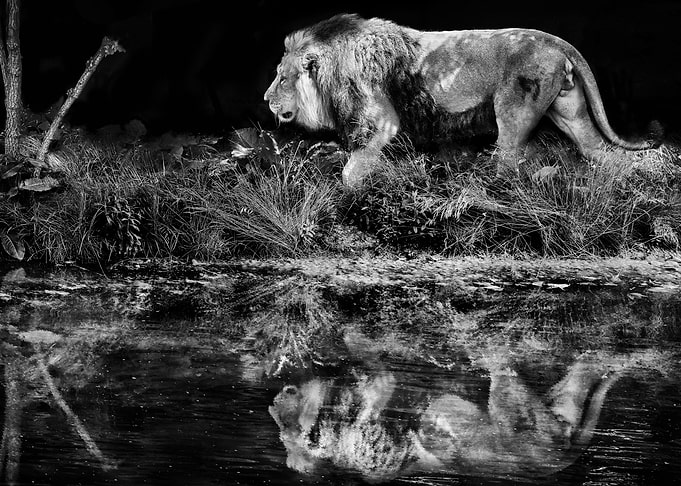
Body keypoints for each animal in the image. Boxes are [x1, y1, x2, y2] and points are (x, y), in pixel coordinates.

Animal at [264, 13, 659, 187]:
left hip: (513, 113)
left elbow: (352, 169)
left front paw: (350, 197)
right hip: (570, 112)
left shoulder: (383, 122)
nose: (267, 99)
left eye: (283, 77)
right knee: (603, 153)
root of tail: (557, 41)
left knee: (509, 162)